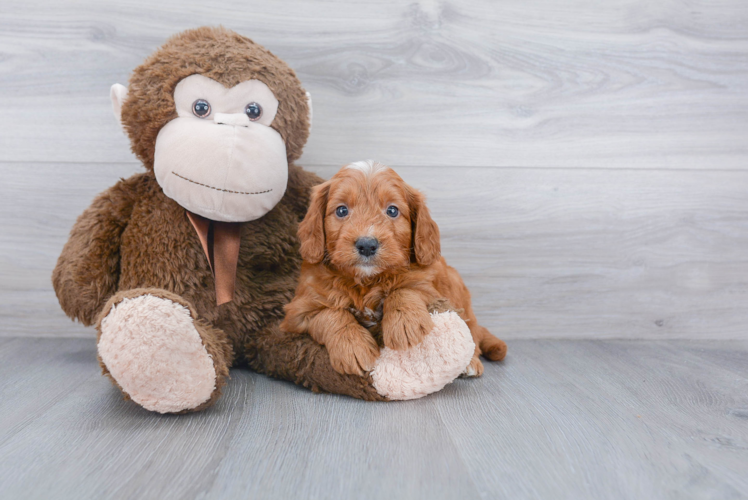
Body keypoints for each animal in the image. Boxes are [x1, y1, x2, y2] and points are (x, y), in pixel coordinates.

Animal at [282, 162, 508, 376]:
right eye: (341, 210)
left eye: (392, 210)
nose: (367, 245)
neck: (366, 281)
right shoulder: (300, 310)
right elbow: (329, 314)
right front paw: (353, 347)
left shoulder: (429, 286)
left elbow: (405, 289)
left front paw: (404, 323)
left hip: (456, 285)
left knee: (472, 331)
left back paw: (471, 362)